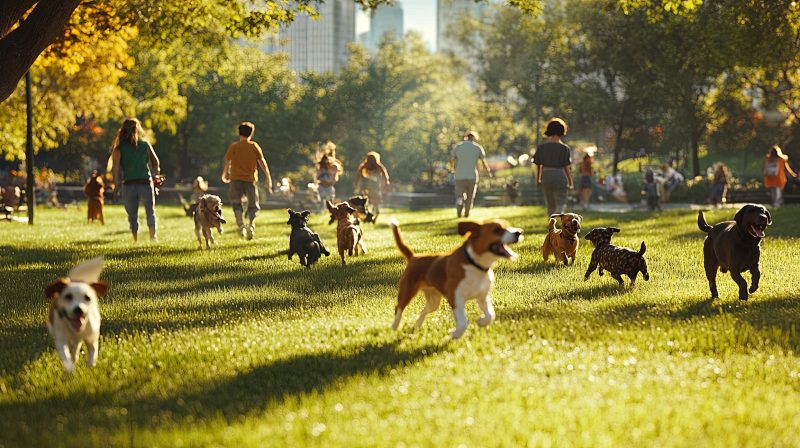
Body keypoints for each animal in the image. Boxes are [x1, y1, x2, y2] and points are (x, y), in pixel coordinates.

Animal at [390, 219, 524, 338]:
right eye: (497, 230)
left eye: (509, 226)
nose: (519, 232)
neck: (474, 265)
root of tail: (414, 257)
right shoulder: (455, 299)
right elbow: (463, 322)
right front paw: (454, 334)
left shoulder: (482, 297)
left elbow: (491, 315)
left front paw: (481, 321)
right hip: (407, 291)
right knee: (398, 308)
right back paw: (395, 326)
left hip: (434, 301)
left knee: (423, 311)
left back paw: (417, 325)